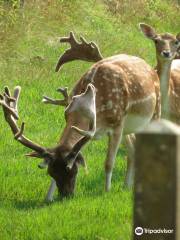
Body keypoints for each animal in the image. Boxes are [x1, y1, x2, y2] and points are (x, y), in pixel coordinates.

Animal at [0, 31, 160, 201]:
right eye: (51, 172)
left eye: (72, 170)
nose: (66, 195)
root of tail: (150, 67)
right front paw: (47, 198)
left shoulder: (117, 124)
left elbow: (108, 163)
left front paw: (106, 191)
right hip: (129, 129)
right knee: (133, 149)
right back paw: (127, 185)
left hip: (155, 110)